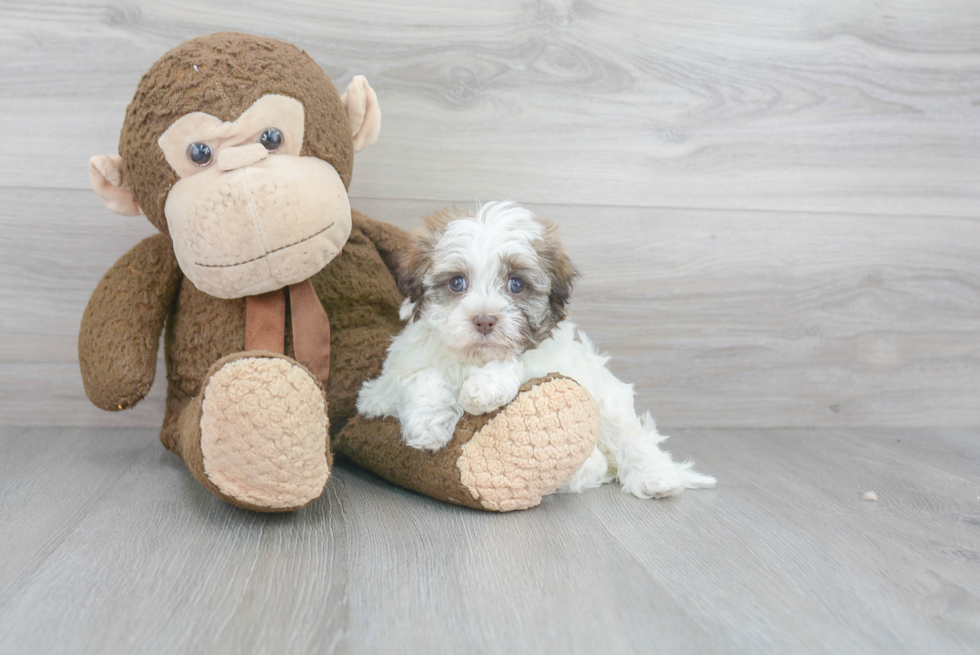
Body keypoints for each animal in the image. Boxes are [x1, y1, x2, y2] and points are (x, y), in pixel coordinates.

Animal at [356, 202, 716, 500]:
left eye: (516, 284)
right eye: (457, 283)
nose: (484, 320)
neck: (474, 359)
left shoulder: (551, 362)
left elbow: (519, 362)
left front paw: (484, 388)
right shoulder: (378, 392)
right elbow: (421, 375)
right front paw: (428, 423)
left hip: (607, 399)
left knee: (631, 439)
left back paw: (656, 477)